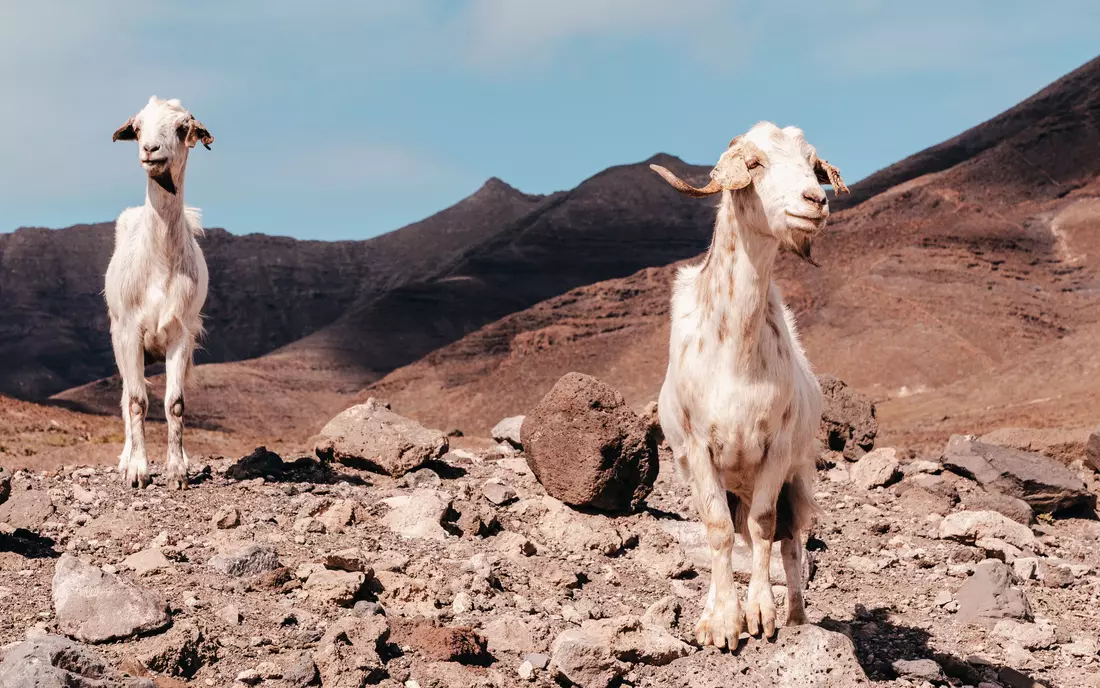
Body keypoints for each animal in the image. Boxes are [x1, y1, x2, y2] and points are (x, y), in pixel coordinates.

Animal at [108, 96, 215, 490]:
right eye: (137, 127)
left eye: (183, 127)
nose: (150, 150)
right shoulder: (129, 332)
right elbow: (137, 401)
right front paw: (138, 471)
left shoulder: (181, 333)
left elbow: (176, 403)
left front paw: (177, 470)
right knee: (127, 394)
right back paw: (126, 458)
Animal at [651, 124, 849, 647]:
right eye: (755, 163)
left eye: (813, 164)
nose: (814, 201)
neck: (736, 357)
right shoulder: (698, 450)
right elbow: (717, 530)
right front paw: (723, 622)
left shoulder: (776, 449)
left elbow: (764, 527)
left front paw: (761, 614)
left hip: (797, 477)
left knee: (791, 539)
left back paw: (796, 615)